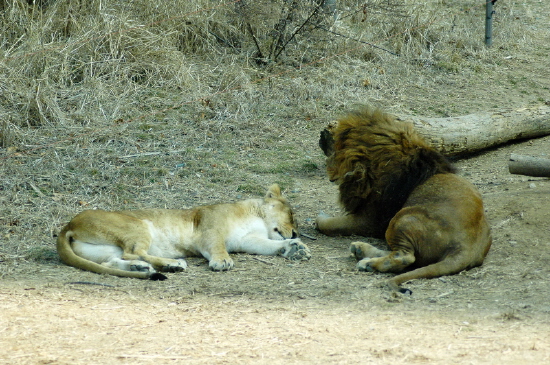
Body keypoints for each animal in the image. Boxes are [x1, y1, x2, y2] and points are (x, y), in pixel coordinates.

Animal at [59, 185, 314, 278]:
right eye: (292, 215)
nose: (294, 233)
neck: (257, 217)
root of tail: (68, 225)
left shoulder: (247, 239)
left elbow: (270, 246)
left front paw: (295, 249)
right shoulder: (209, 228)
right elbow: (217, 246)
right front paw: (222, 261)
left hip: (103, 250)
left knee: (113, 261)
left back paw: (143, 268)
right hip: (138, 225)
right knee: (134, 252)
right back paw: (173, 264)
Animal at [316, 106, 494, 292]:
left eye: (334, 147)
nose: (321, 140)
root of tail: (467, 248)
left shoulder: (370, 221)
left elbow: (328, 224)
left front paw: (320, 218)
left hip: (402, 219)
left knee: (405, 258)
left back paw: (368, 263)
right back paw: (361, 251)